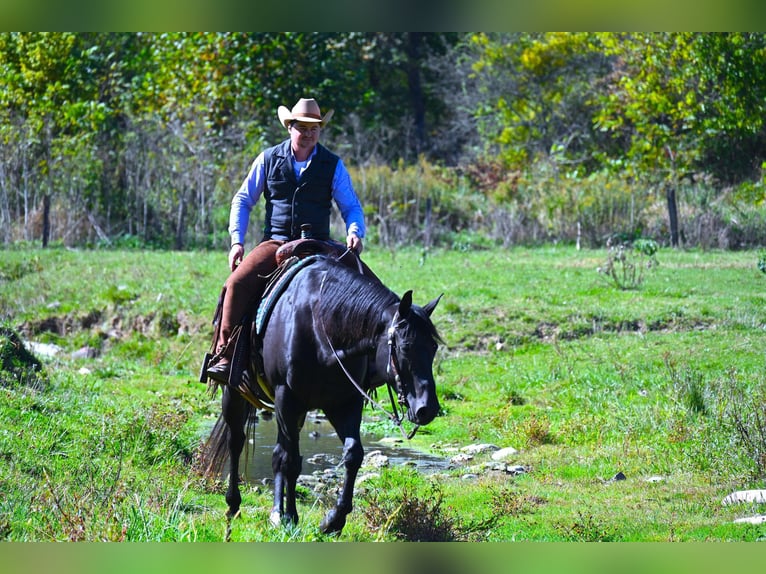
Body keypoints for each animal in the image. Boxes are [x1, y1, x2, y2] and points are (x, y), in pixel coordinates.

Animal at [201, 254, 444, 536]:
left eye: (433, 346)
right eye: (404, 347)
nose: (427, 409)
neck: (320, 329)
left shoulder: (344, 402)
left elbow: (353, 454)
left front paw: (332, 520)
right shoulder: (286, 397)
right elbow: (289, 460)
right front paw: (287, 517)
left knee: (280, 452)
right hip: (235, 392)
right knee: (237, 441)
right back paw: (235, 505)